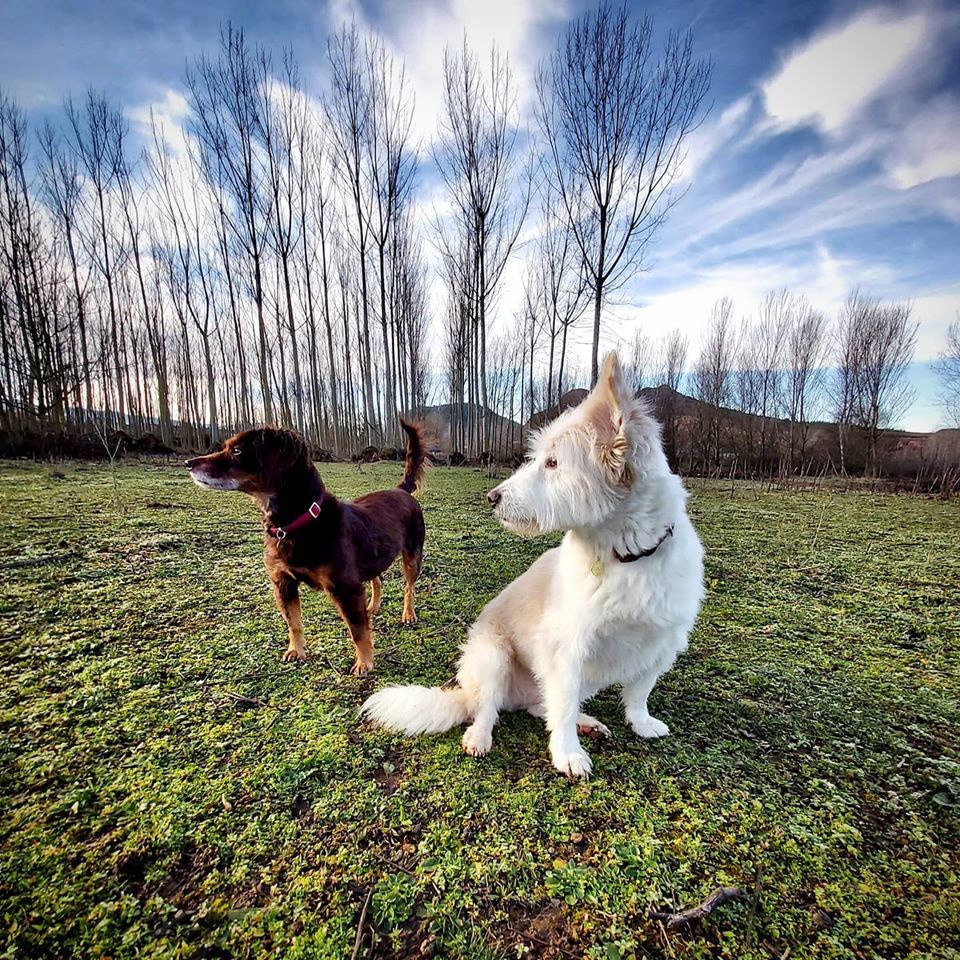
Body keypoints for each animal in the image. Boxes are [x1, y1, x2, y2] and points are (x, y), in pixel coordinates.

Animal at [186, 420, 426, 676]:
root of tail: (401, 489)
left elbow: (358, 631)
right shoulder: (283, 583)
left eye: (237, 451)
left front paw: (364, 662)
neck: (295, 523)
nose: (188, 463)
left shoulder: (346, 588)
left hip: (412, 555)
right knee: (377, 579)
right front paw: (296, 651)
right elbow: (293, 622)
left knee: (409, 587)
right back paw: (373, 606)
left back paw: (408, 614)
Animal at [360, 352, 704, 780]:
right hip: (492, 658)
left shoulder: (662, 642)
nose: (492, 497)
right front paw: (567, 753)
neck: (625, 556)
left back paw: (585, 722)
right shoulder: (566, 648)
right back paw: (480, 736)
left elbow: (639, 690)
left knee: (543, 706)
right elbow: (564, 705)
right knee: (489, 709)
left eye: (553, 463)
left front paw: (639, 722)